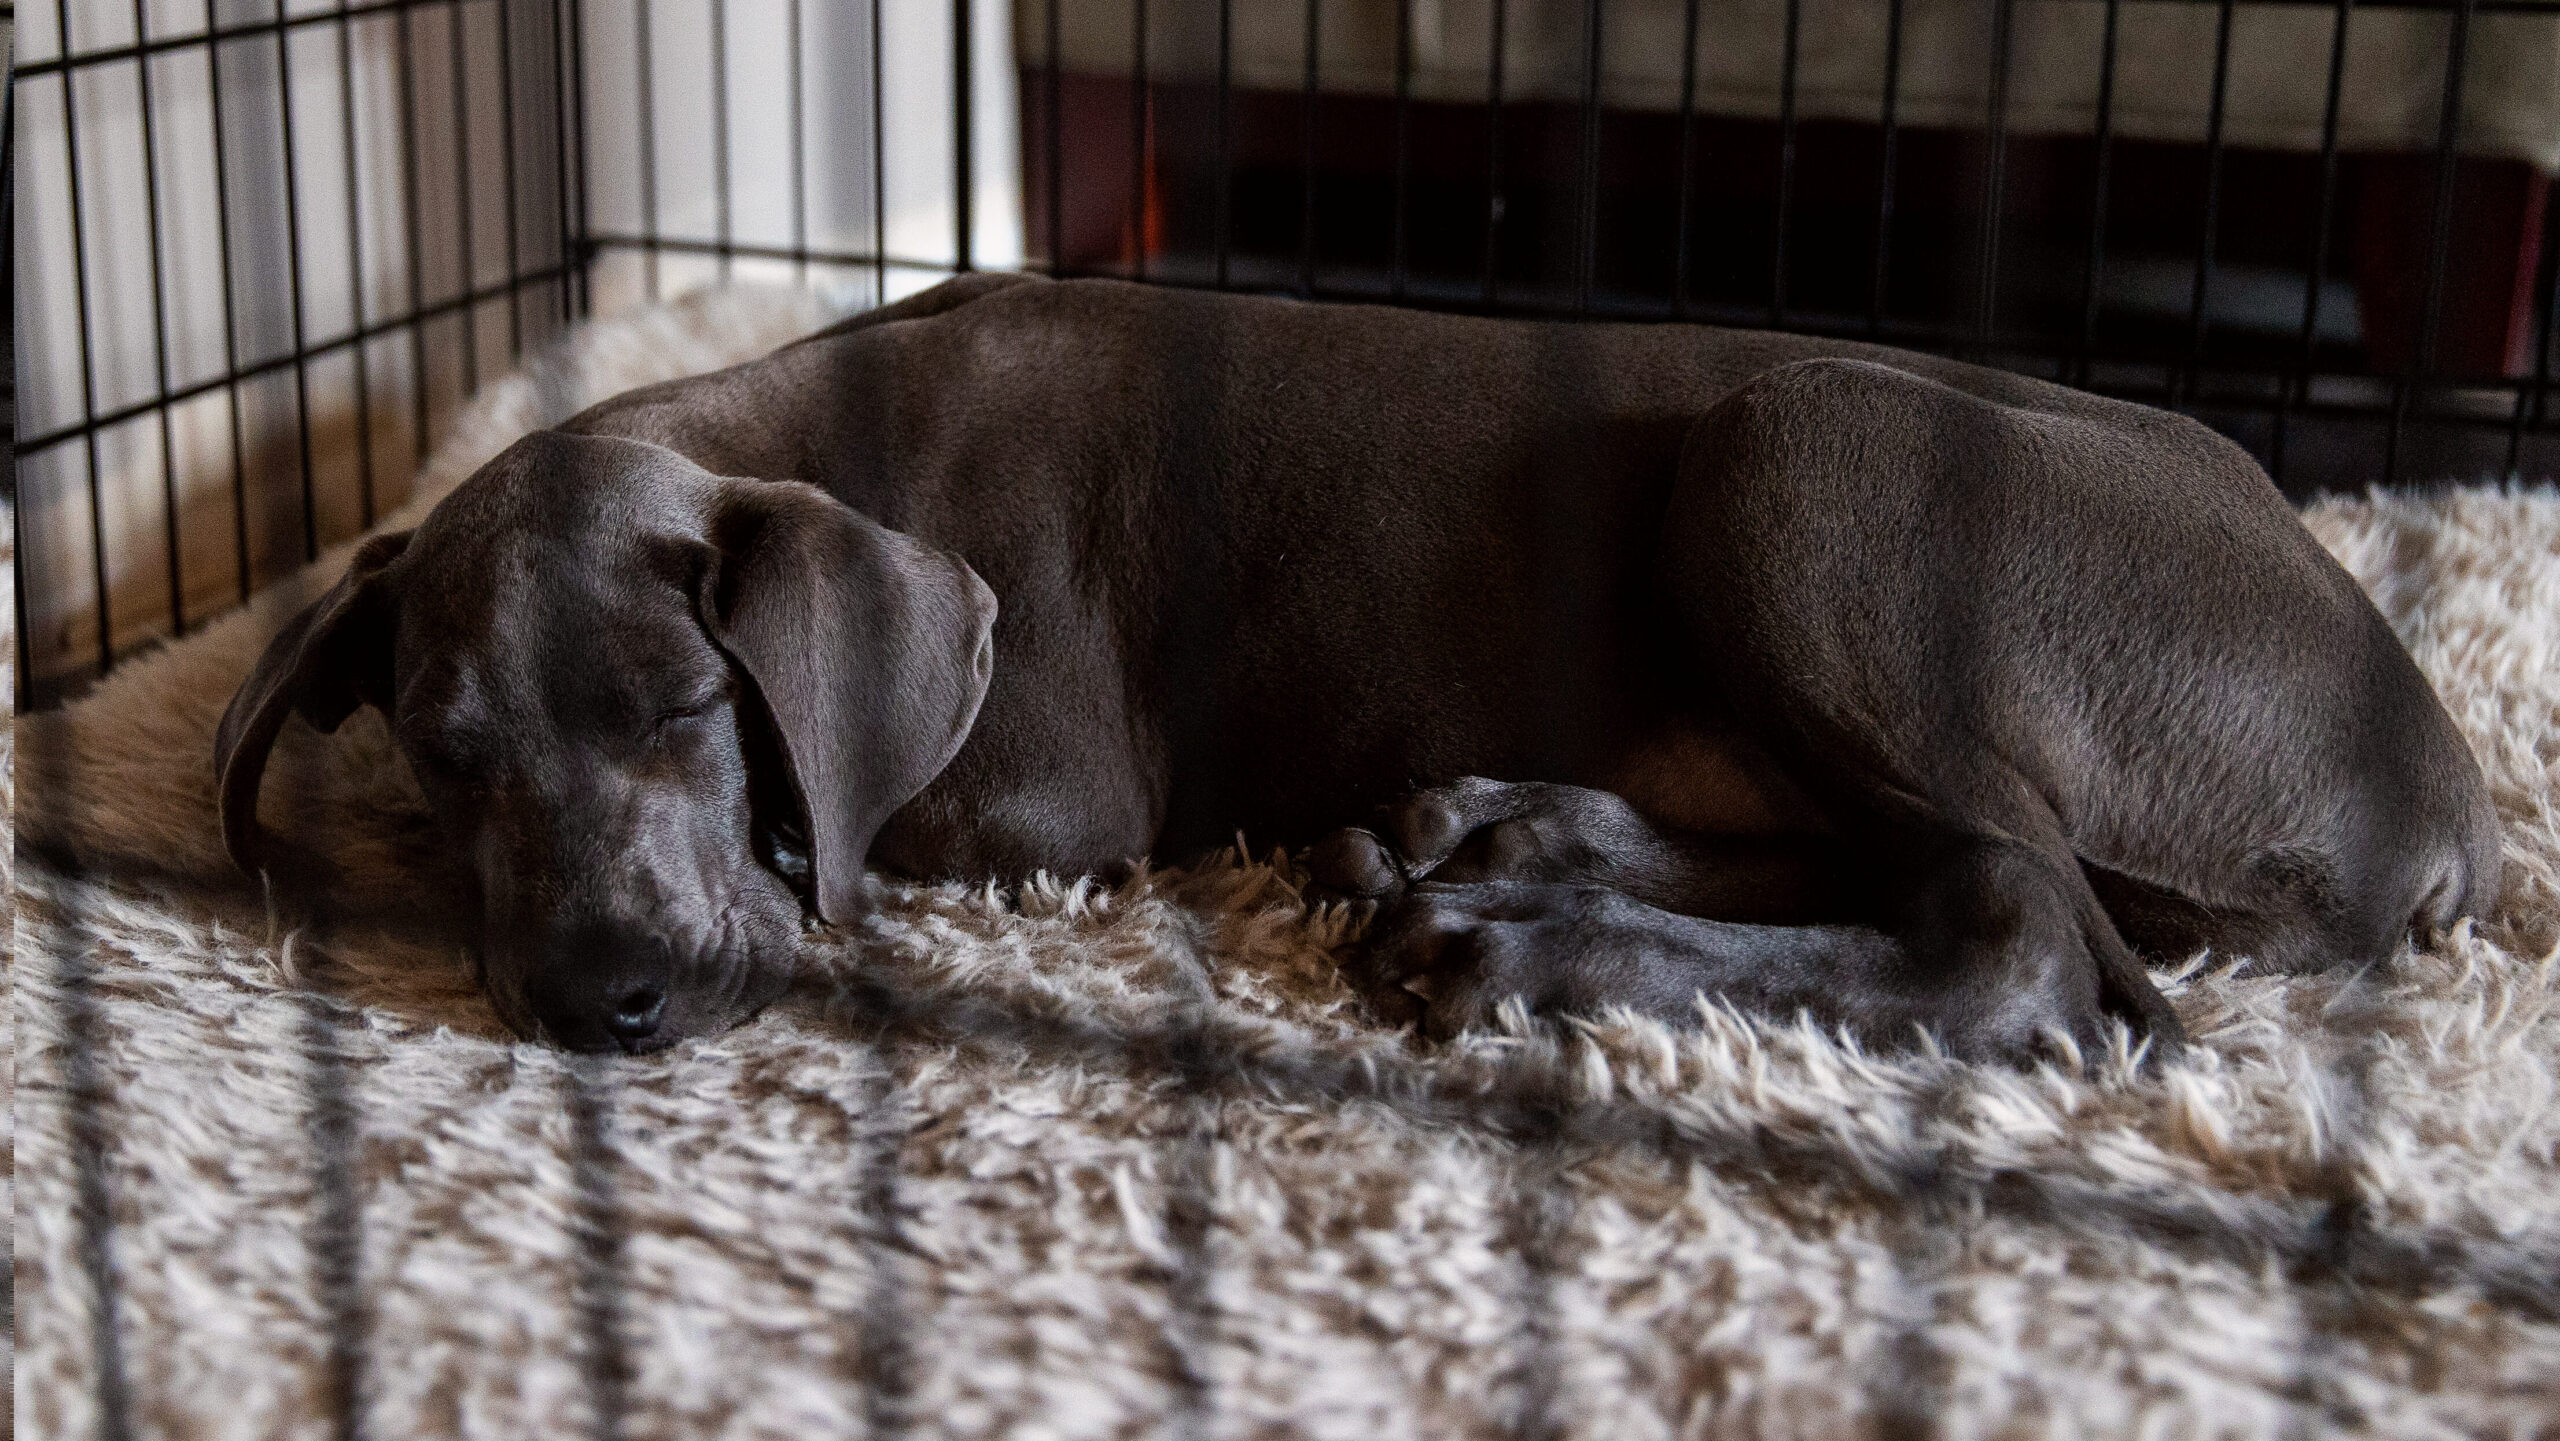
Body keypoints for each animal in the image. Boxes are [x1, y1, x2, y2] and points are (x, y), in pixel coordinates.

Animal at [215, 273, 2498, 1059]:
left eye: (691, 710)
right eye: (444, 754)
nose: (601, 1001)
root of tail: (2450, 792)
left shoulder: (1050, 786)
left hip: (1804, 453)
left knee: (2018, 931)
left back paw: (1530, 943)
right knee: (1943, 870)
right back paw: (1491, 838)